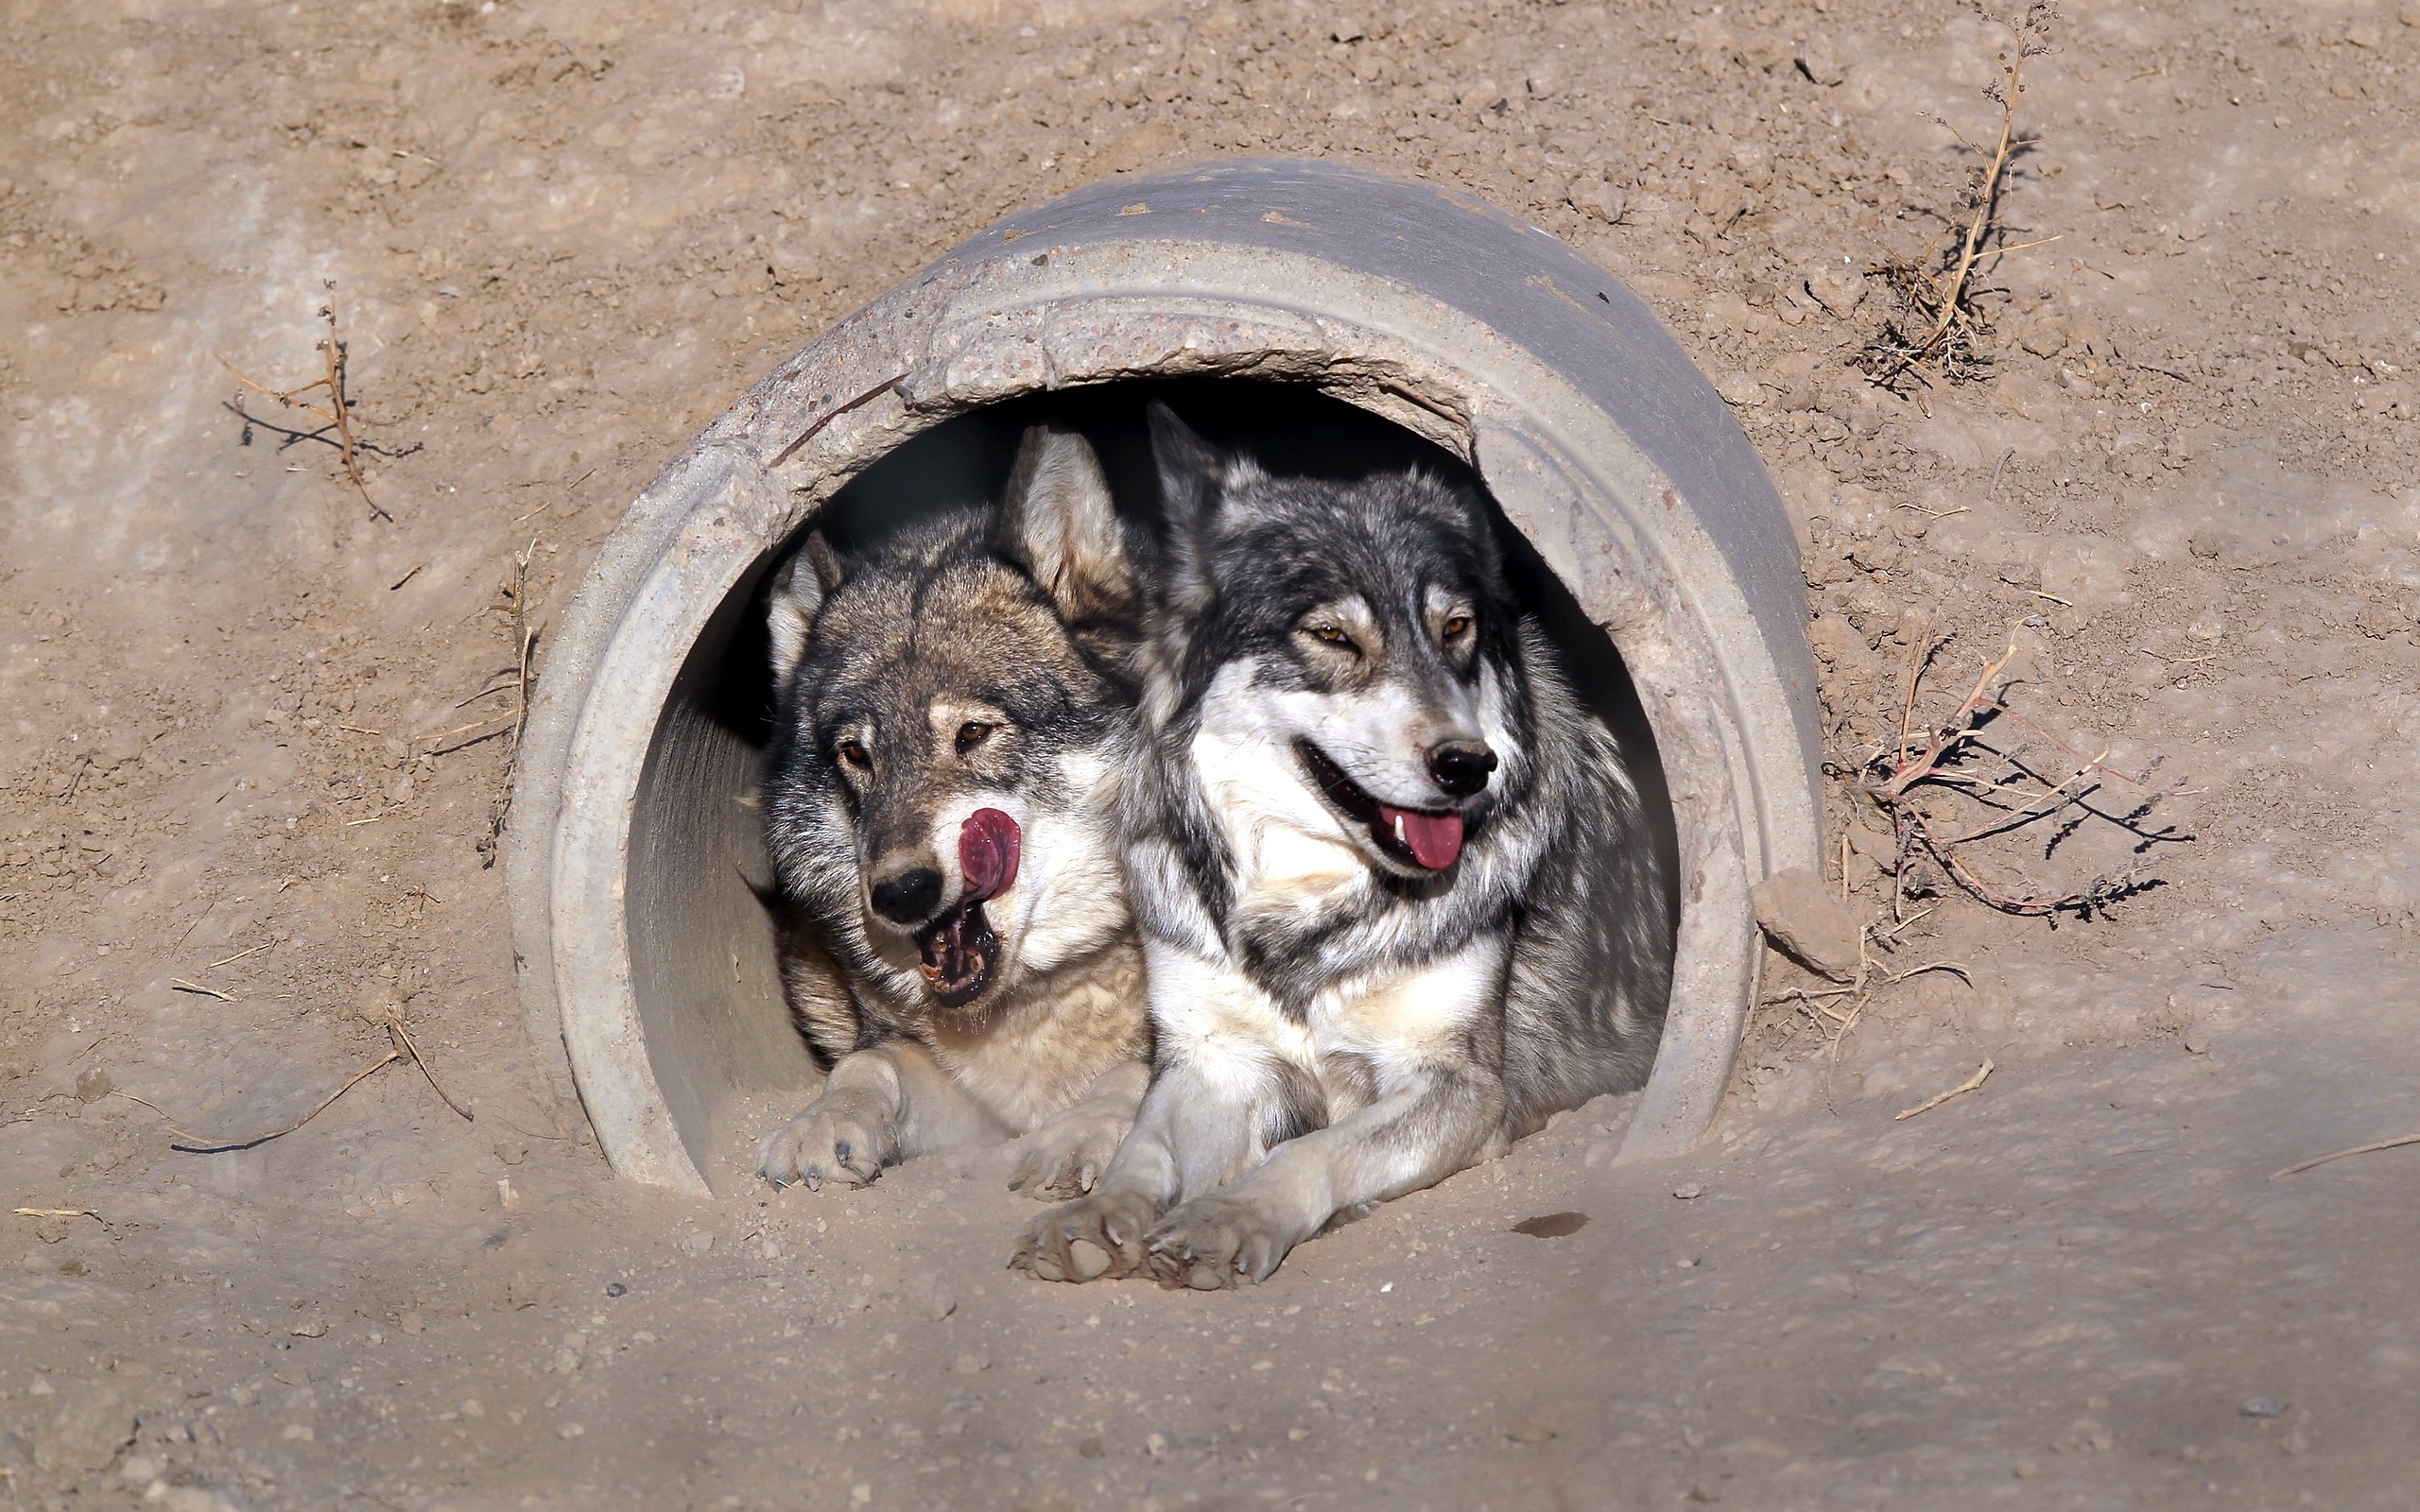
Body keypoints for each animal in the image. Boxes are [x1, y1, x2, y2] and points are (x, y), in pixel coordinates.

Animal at [754, 428, 1151, 1204]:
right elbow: (869, 1066)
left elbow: (1139, 1072)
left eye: (972, 733)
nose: (902, 894)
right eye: (856, 755)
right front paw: (825, 1121)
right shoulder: (955, 1100)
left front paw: (1077, 1134)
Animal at [1011, 401, 1674, 1286]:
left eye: (1455, 629)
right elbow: (1145, 1151)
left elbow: (1315, 1149)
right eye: (1332, 636)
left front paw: (1232, 1215)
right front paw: (1101, 1212)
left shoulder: (1459, 1086)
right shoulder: (1212, 1060)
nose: (1468, 766)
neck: (1305, 907)